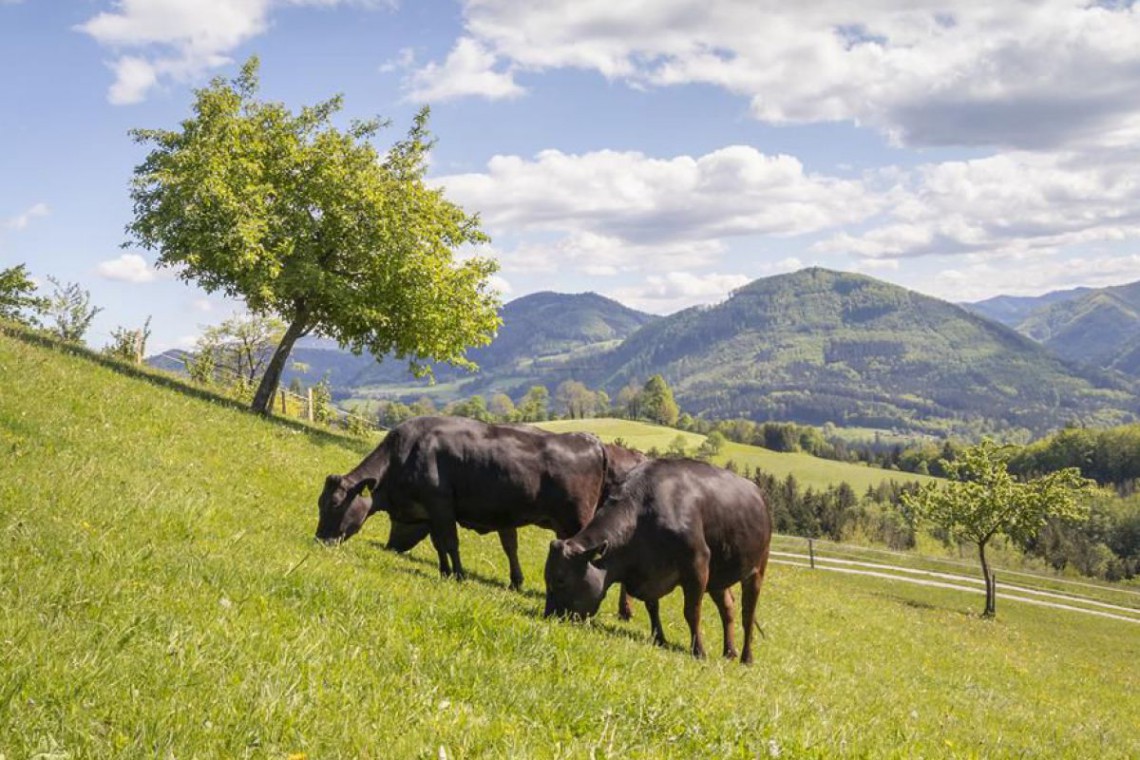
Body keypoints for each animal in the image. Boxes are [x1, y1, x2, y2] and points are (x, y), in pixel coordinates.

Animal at [316, 417, 647, 592]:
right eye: (320, 503)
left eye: (336, 504)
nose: (320, 539)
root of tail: (591, 440)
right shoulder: (432, 512)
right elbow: (439, 544)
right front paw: (445, 571)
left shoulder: (441, 505)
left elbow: (450, 542)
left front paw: (459, 575)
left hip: (578, 519)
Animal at [542, 458, 775, 665]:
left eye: (561, 580)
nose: (549, 616)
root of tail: (758, 493)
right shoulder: (649, 572)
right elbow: (652, 606)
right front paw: (659, 638)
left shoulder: (697, 565)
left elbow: (691, 612)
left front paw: (698, 651)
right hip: (718, 576)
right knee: (728, 608)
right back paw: (729, 652)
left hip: (757, 568)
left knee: (748, 614)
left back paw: (746, 657)